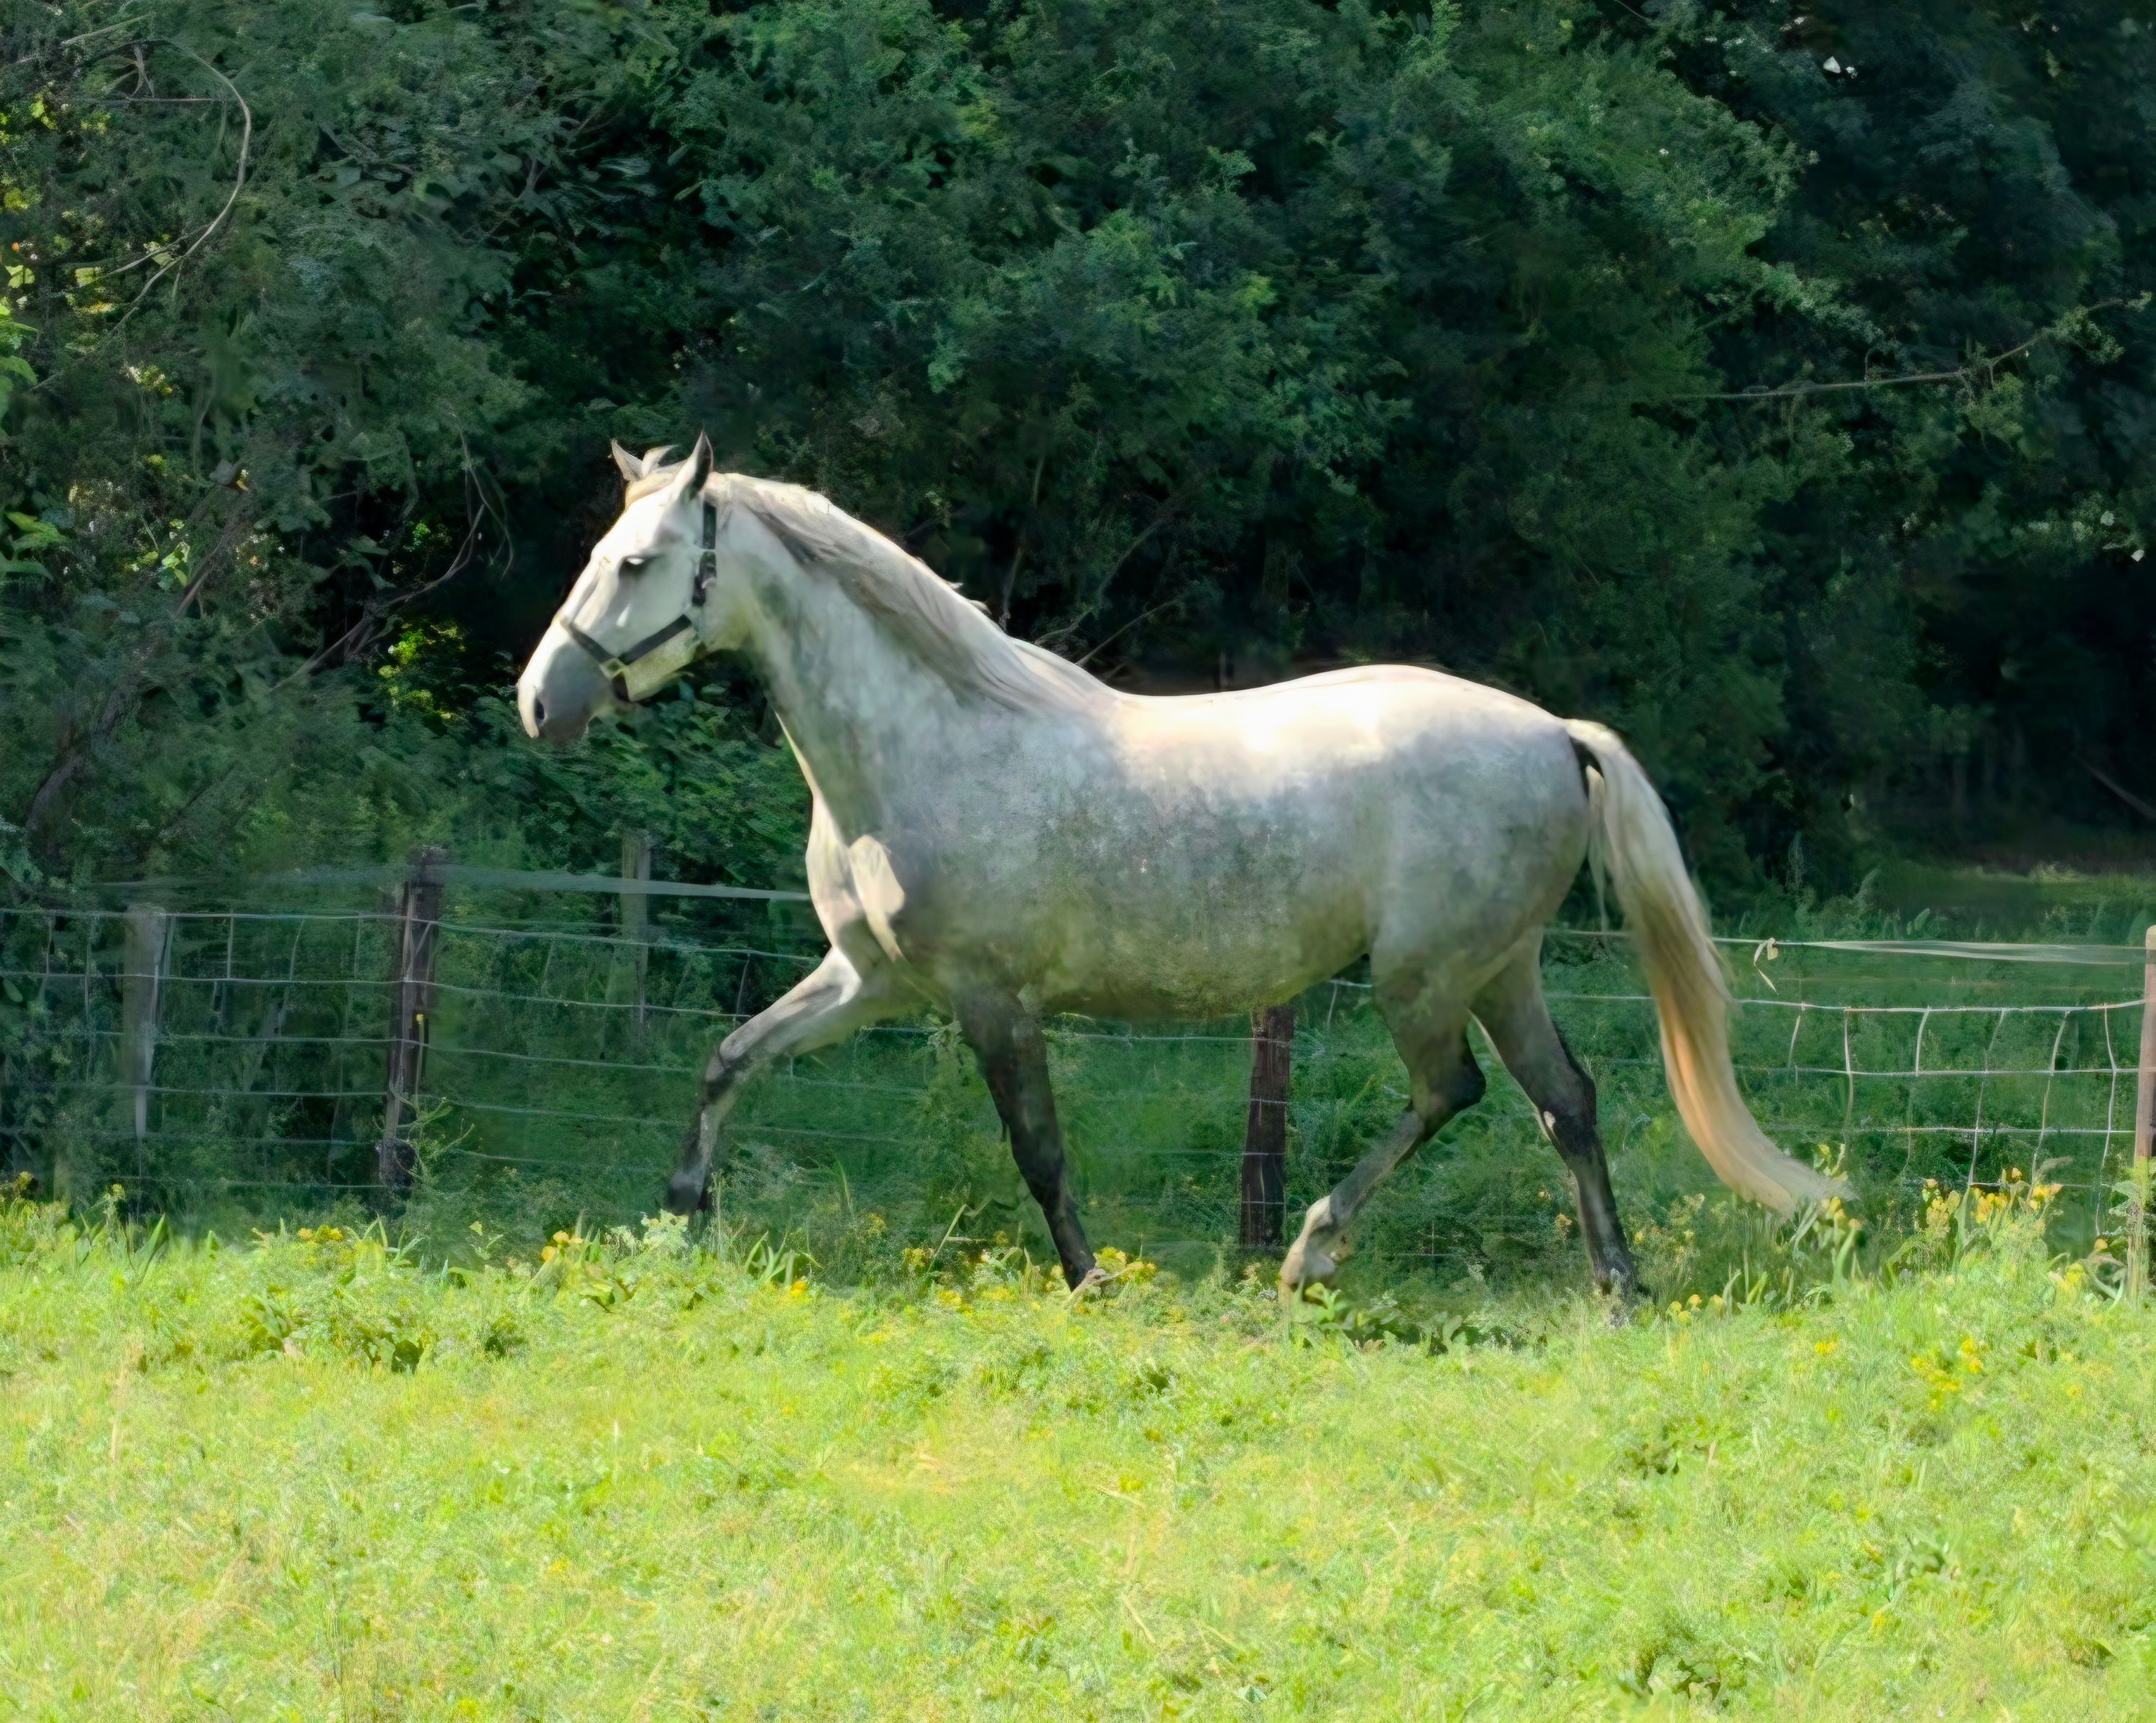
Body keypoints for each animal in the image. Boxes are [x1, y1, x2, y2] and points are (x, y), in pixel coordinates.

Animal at [516, 434, 1841, 1295]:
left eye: (637, 562)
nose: (541, 700)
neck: (925, 743)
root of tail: (1555, 732)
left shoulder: (993, 1000)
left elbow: (1040, 1149)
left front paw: (1090, 1278)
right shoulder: (869, 980)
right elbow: (730, 1057)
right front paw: (682, 1209)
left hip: (1425, 977)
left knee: (1455, 1091)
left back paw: (1310, 1248)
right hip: (1501, 967)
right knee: (1564, 1099)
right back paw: (1615, 1281)